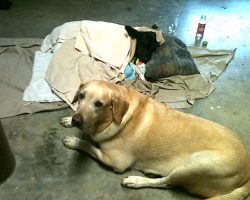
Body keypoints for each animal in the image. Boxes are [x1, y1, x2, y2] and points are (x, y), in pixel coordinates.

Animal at [61, 80, 250, 200]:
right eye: (81, 96)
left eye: (99, 104)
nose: (76, 120)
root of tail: (247, 172)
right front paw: (68, 120)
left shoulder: (116, 162)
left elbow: (90, 146)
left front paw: (75, 141)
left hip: (197, 164)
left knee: (167, 183)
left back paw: (136, 181)